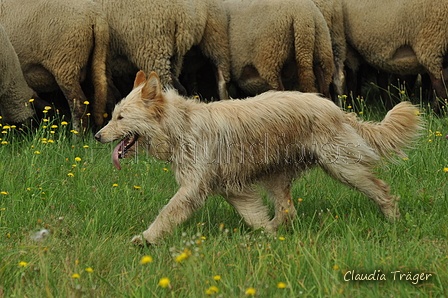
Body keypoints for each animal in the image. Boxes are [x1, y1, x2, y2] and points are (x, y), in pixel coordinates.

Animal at [93, 70, 420, 244]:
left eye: (120, 117)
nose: (96, 136)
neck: (180, 126)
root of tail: (336, 109)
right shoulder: (232, 190)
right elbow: (255, 217)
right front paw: (265, 235)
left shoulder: (192, 189)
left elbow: (166, 213)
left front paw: (145, 239)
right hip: (277, 179)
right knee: (287, 212)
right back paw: (276, 232)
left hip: (343, 167)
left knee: (381, 189)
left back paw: (393, 220)